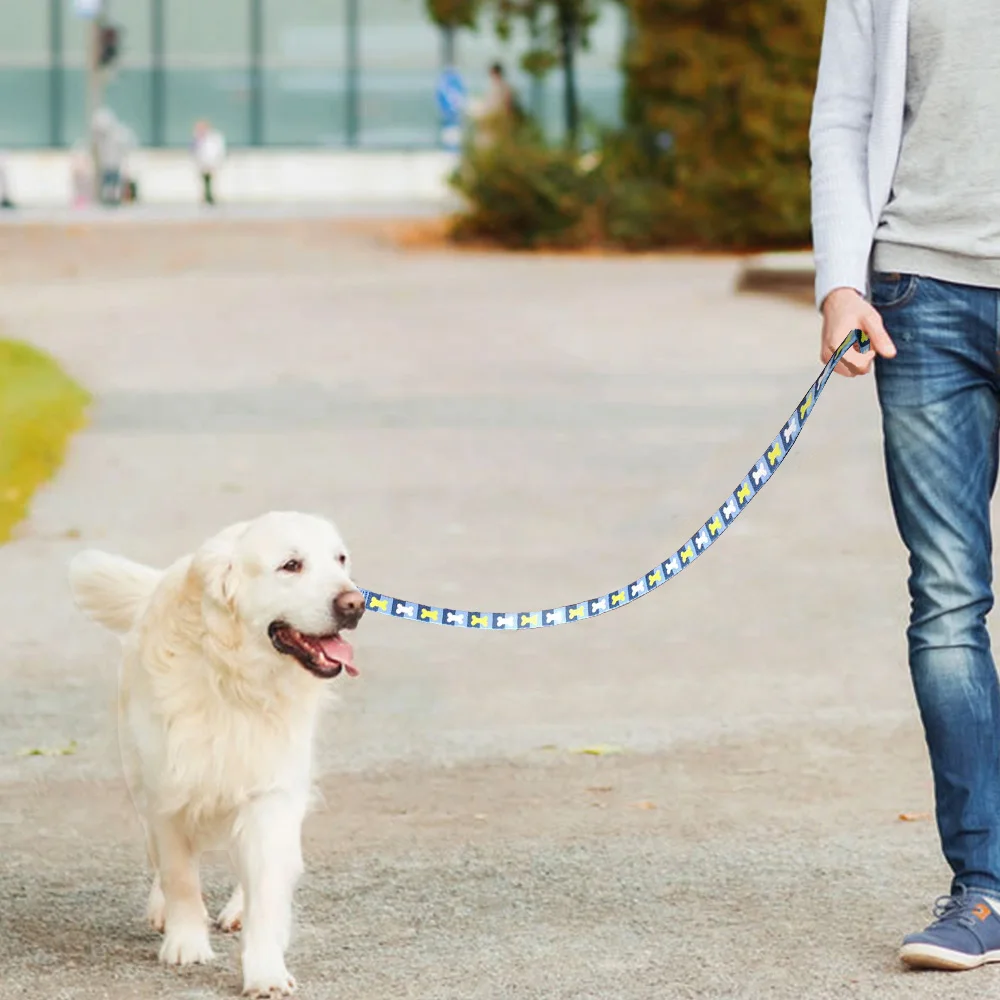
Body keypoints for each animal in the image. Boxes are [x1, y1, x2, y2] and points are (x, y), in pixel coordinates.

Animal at [70, 512, 368, 996]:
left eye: (340, 559)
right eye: (291, 565)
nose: (355, 603)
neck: (237, 679)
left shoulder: (271, 791)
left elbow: (267, 884)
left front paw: (265, 969)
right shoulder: (166, 792)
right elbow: (179, 876)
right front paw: (186, 943)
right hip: (139, 780)